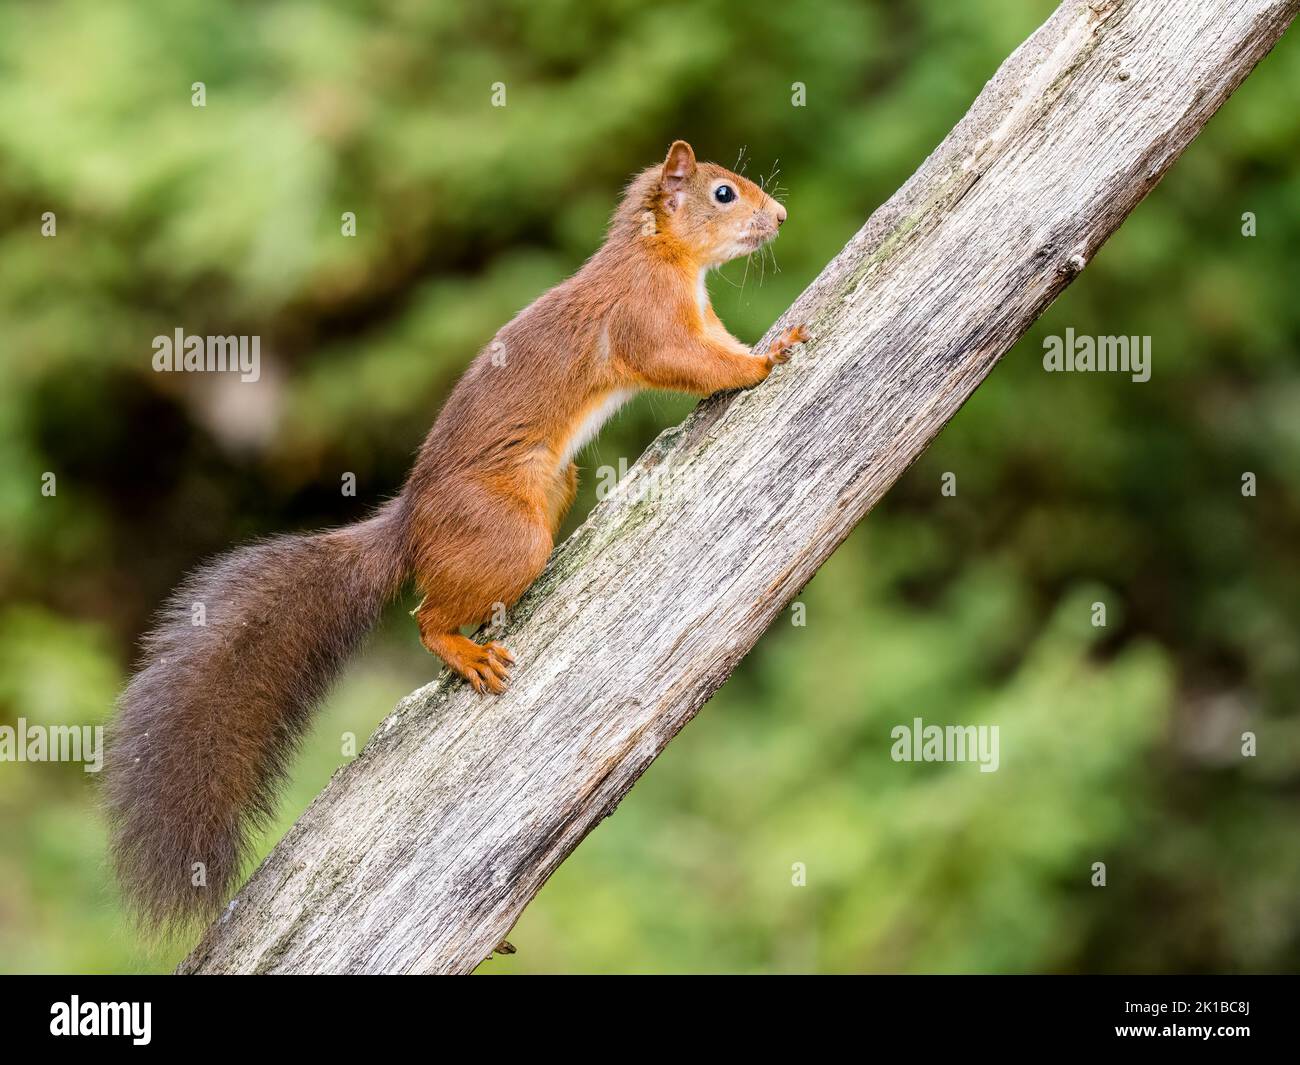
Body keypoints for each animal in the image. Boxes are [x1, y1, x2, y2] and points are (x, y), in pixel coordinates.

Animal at [105, 140, 809, 929]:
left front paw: (774, 339)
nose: (781, 216)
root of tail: (411, 526)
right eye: (724, 193)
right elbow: (690, 362)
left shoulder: (698, 316)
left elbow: (718, 345)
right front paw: (764, 362)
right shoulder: (647, 320)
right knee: (425, 616)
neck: (658, 256)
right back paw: (463, 650)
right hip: (505, 534)